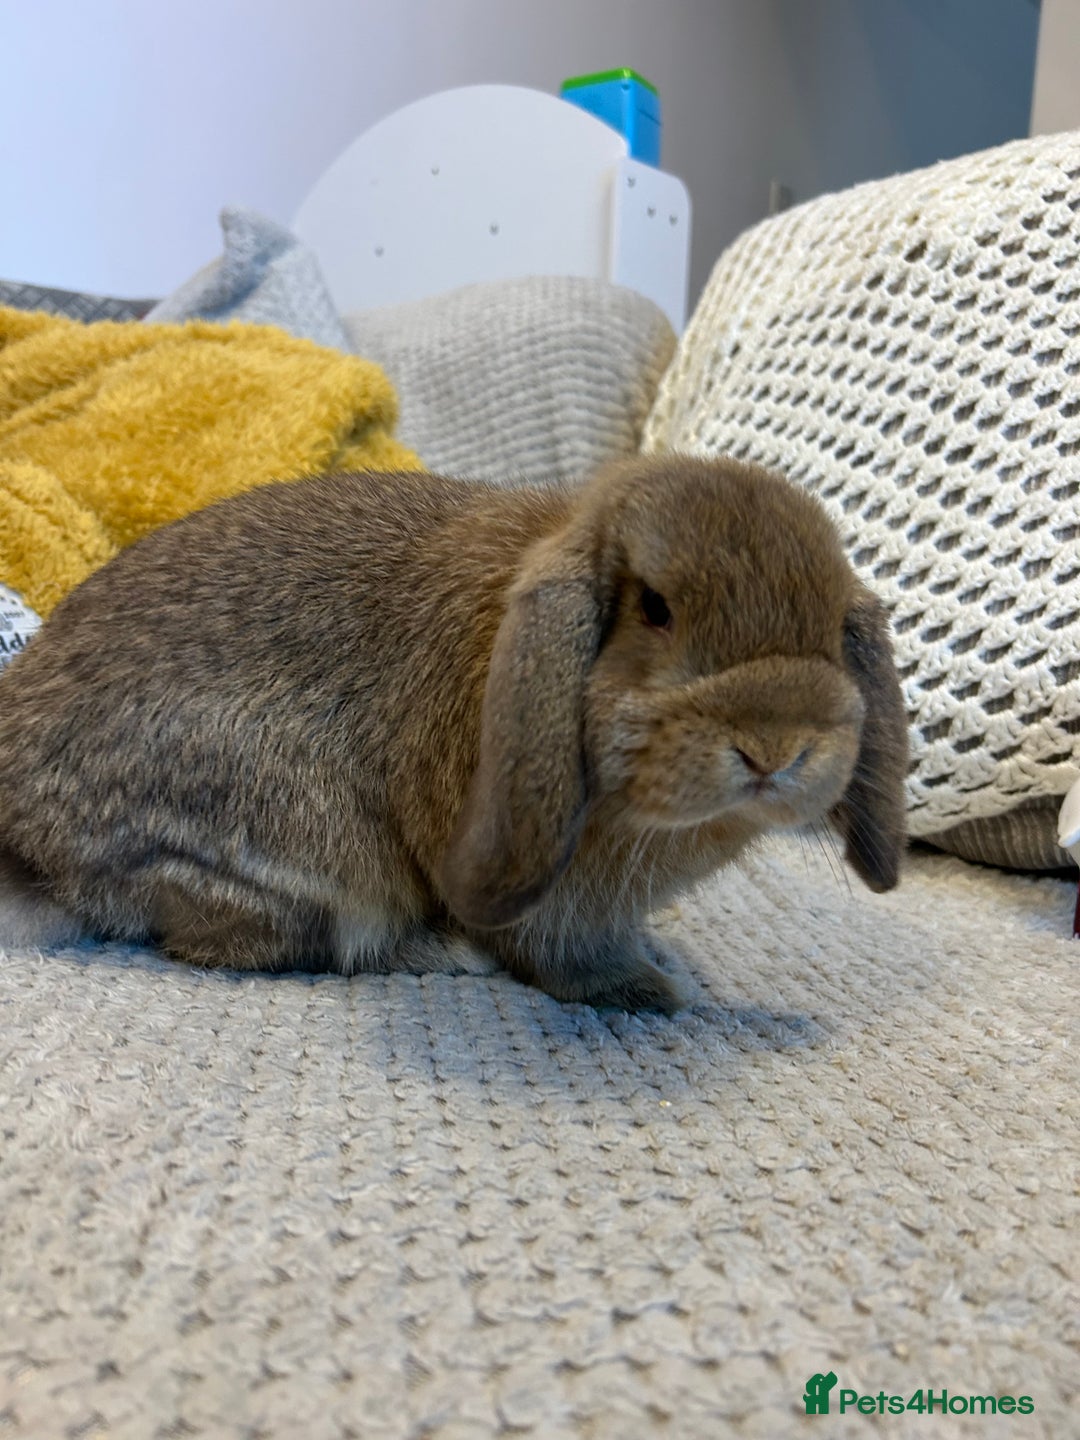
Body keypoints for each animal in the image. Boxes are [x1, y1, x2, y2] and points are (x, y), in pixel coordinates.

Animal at [0, 455, 908, 1011]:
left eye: (832, 625)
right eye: (655, 608)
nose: (777, 747)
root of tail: (38, 856)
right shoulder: (548, 900)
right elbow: (564, 957)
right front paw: (644, 991)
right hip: (308, 863)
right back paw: (446, 955)